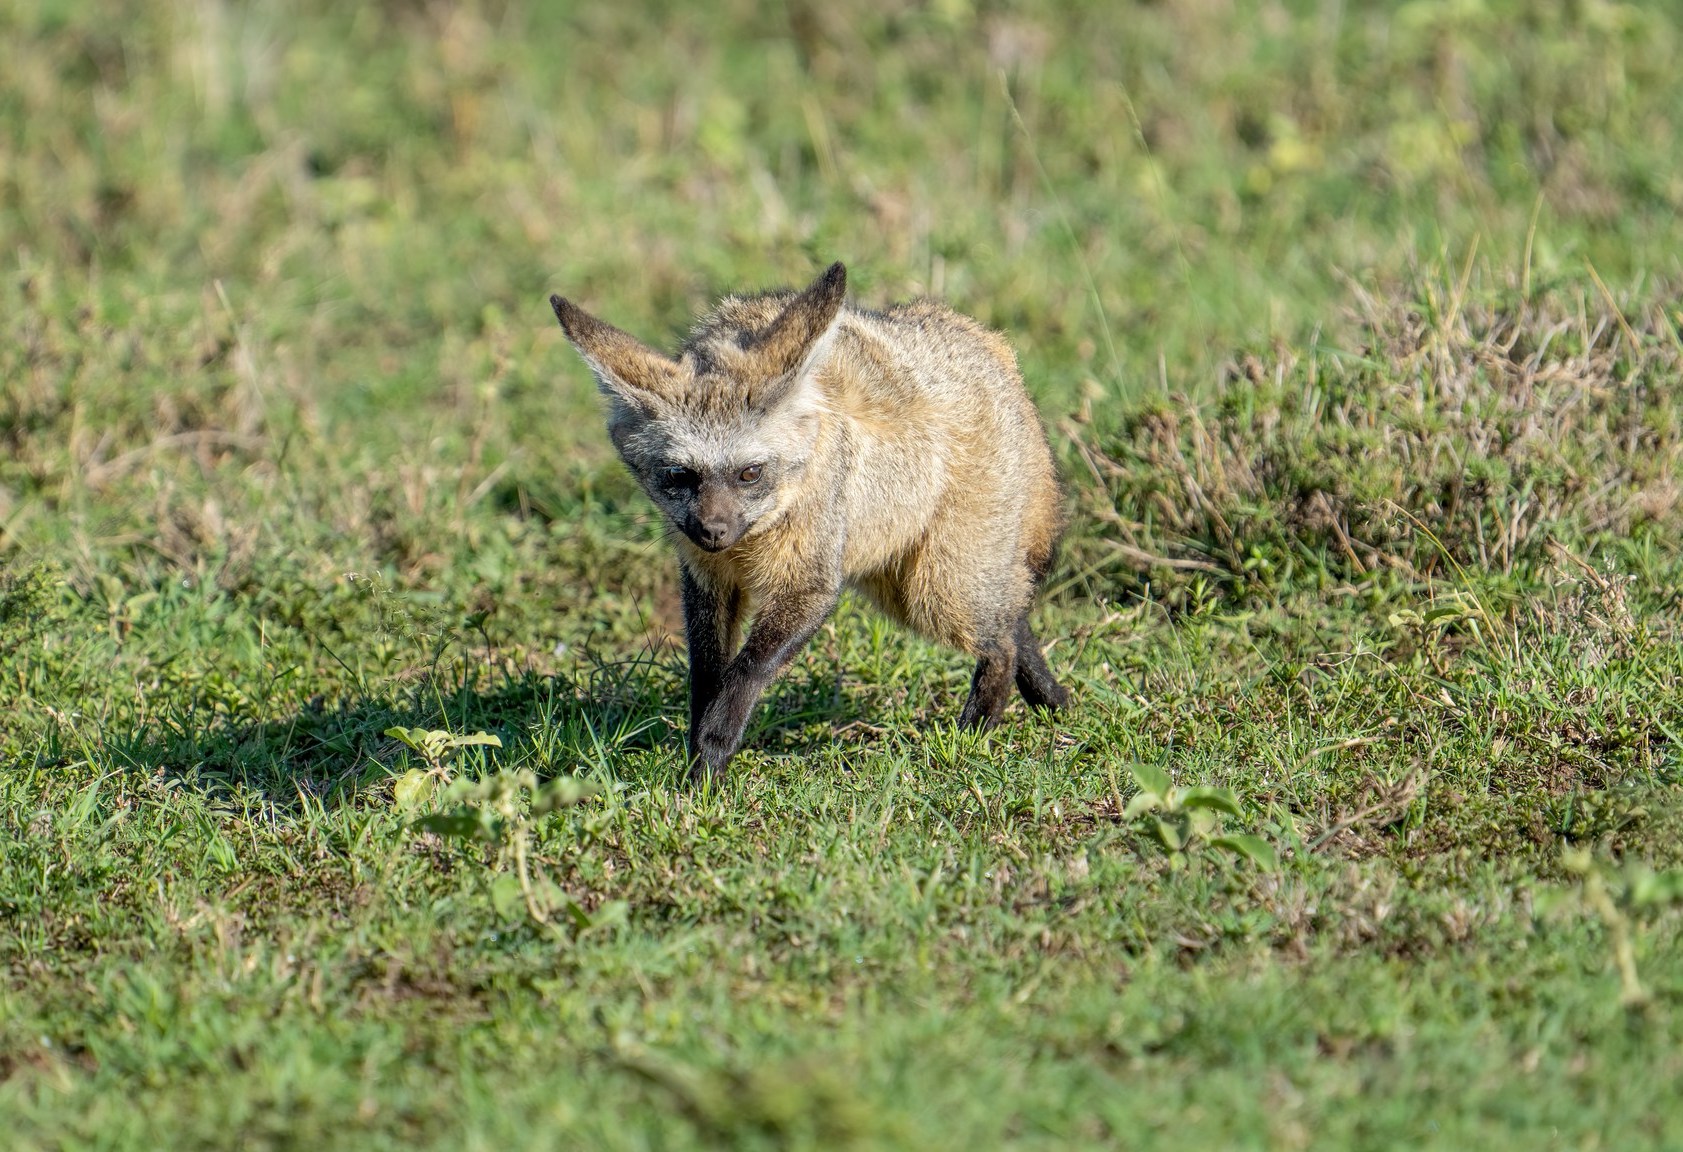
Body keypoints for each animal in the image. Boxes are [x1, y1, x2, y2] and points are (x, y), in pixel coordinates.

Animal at [552, 262, 1063, 781]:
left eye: (749, 473)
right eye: (680, 475)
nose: (713, 532)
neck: (756, 536)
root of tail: (994, 348)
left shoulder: (811, 582)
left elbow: (746, 673)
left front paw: (709, 762)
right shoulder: (707, 577)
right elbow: (707, 677)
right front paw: (699, 753)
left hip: (937, 592)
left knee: (1000, 643)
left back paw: (974, 734)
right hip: (897, 581)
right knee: (1012, 618)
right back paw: (1054, 701)